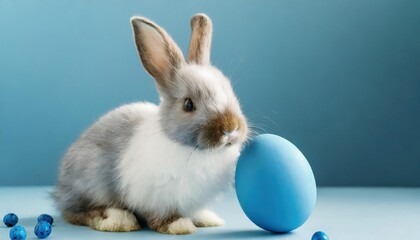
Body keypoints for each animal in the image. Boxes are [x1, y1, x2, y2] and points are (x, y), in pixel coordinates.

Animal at [53, 13, 248, 234]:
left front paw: (207, 219)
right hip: (93, 181)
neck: (193, 150)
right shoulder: (153, 196)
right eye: (188, 104)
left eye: (229, 90)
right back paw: (118, 220)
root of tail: (61, 188)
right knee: (80, 212)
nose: (230, 128)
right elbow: (160, 216)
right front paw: (178, 226)